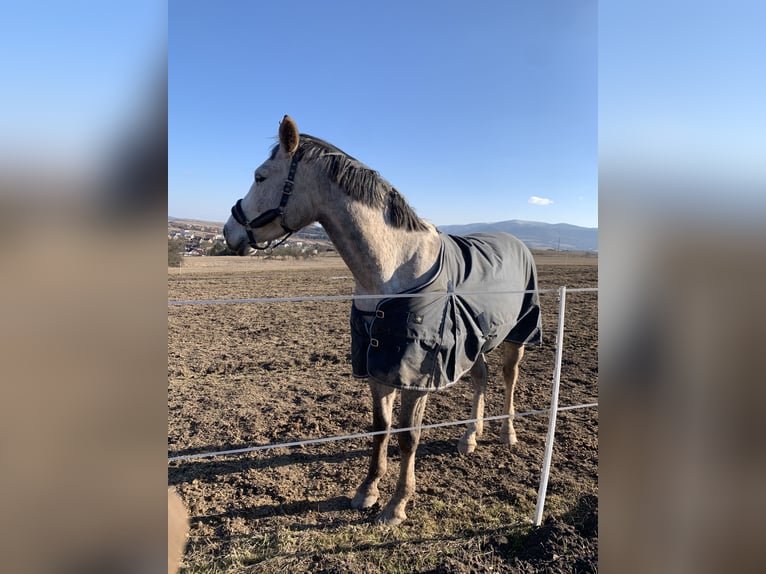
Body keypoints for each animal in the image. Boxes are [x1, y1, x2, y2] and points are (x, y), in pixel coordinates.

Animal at [224, 116, 542, 526]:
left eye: (260, 176)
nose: (228, 232)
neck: (392, 271)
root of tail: (517, 241)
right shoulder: (377, 366)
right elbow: (381, 429)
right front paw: (368, 491)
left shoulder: (417, 376)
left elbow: (408, 437)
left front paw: (397, 505)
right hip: (477, 338)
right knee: (481, 378)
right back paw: (471, 436)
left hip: (518, 336)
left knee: (508, 378)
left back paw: (507, 433)